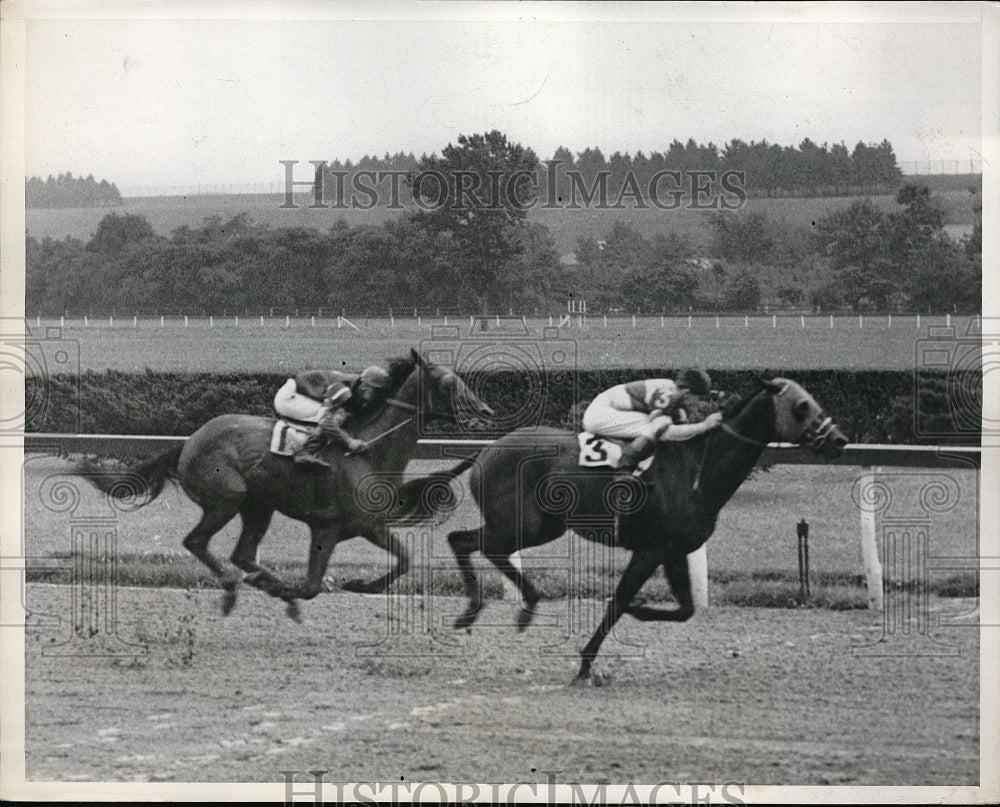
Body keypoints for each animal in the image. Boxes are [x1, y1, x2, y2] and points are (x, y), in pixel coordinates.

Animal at [80, 350, 494, 620]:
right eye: (449, 381)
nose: (486, 412)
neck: (369, 453)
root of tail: (190, 441)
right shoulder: (326, 528)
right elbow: (312, 586)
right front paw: (294, 591)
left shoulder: (368, 526)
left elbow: (406, 560)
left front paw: (360, 584)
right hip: (227, 499)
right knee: (198, 542)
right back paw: (234, 587)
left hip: (258, 506)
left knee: (243, 555)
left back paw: (261, 585)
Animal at [394, 378, 848, 680]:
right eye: (802, 406)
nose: (840, 440)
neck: (697, 470)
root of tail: (487, 450)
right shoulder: (650, 550)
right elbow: (617, 603)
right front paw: (586, 664)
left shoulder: (673, 550)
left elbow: (684, 610)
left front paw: (636, 616)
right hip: (524, 524)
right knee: (469, 542)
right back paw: (502, 606)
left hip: (541, 527)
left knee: (476, 545)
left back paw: (509, 606)